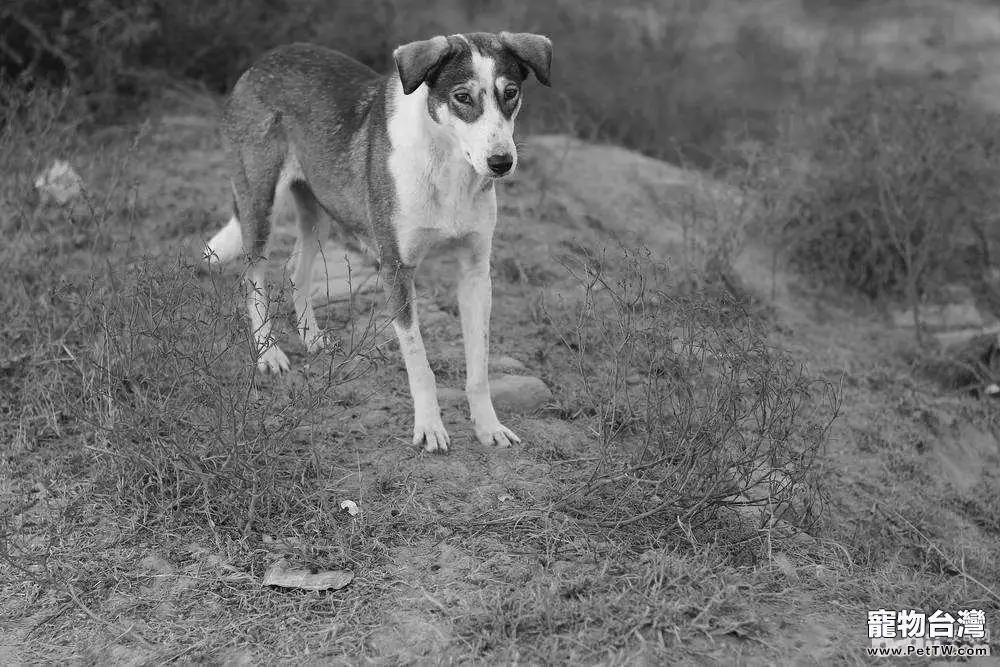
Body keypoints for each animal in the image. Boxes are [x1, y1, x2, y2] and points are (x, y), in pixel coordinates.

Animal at [200, 34, 552, 456]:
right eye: (462, 97)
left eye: (510, 93)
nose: (501, 162)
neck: (447, 164)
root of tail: (265, 60)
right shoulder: (397, 270)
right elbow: (419, 362)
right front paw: (429, 428)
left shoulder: (475, 274)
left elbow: (479, 366)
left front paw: (488, 427)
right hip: (260, 203)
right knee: (251, 276)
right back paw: (269, 353)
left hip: (320, 208)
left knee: (295, 270)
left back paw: (312, 338)